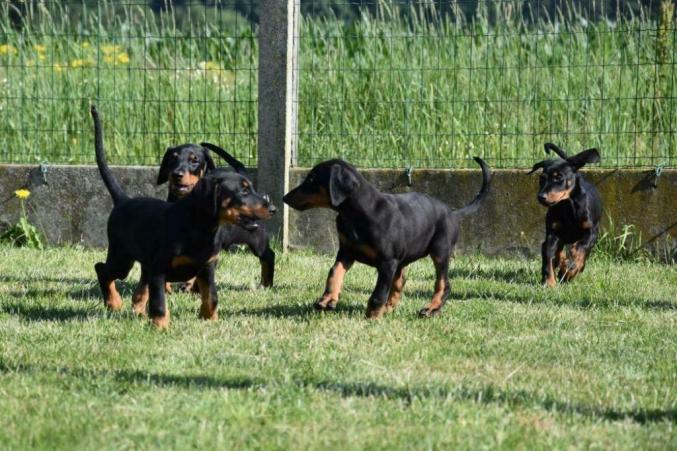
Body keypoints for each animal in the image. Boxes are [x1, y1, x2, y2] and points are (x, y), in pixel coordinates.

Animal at [90, 107, 274, 330]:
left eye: (194, 160)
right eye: (243, 191)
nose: (273, 208)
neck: (200, 227)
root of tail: (123, 200)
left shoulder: (207, 267)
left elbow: (211, 296)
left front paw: (210, 319)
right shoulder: (159, 270)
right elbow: (159, 301)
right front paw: (160, 326)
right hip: (122, 256)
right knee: (102, 269)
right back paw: (114, 302)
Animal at [282, 157, 488, 320]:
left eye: (311, 179)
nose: (285, 197)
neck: (355, 214)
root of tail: (452, 213)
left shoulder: (387, 261)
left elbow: (379, 292)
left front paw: (372, 317)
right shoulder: (347, 251)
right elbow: (334, 272)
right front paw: (328, 299)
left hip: (440, 251)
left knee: (443, 284)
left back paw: (431, 309)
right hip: (403, 256)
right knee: (401, 280)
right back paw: (390, 307)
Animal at [528, 143, 604, 288]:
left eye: (558, 177)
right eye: (541, 178)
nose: (541, 197)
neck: (567, 206)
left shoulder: (591, 232)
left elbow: (580, 249)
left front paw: (570, 270)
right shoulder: (552, 234)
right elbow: (549, 257)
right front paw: (550, 283)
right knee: (552, 252)